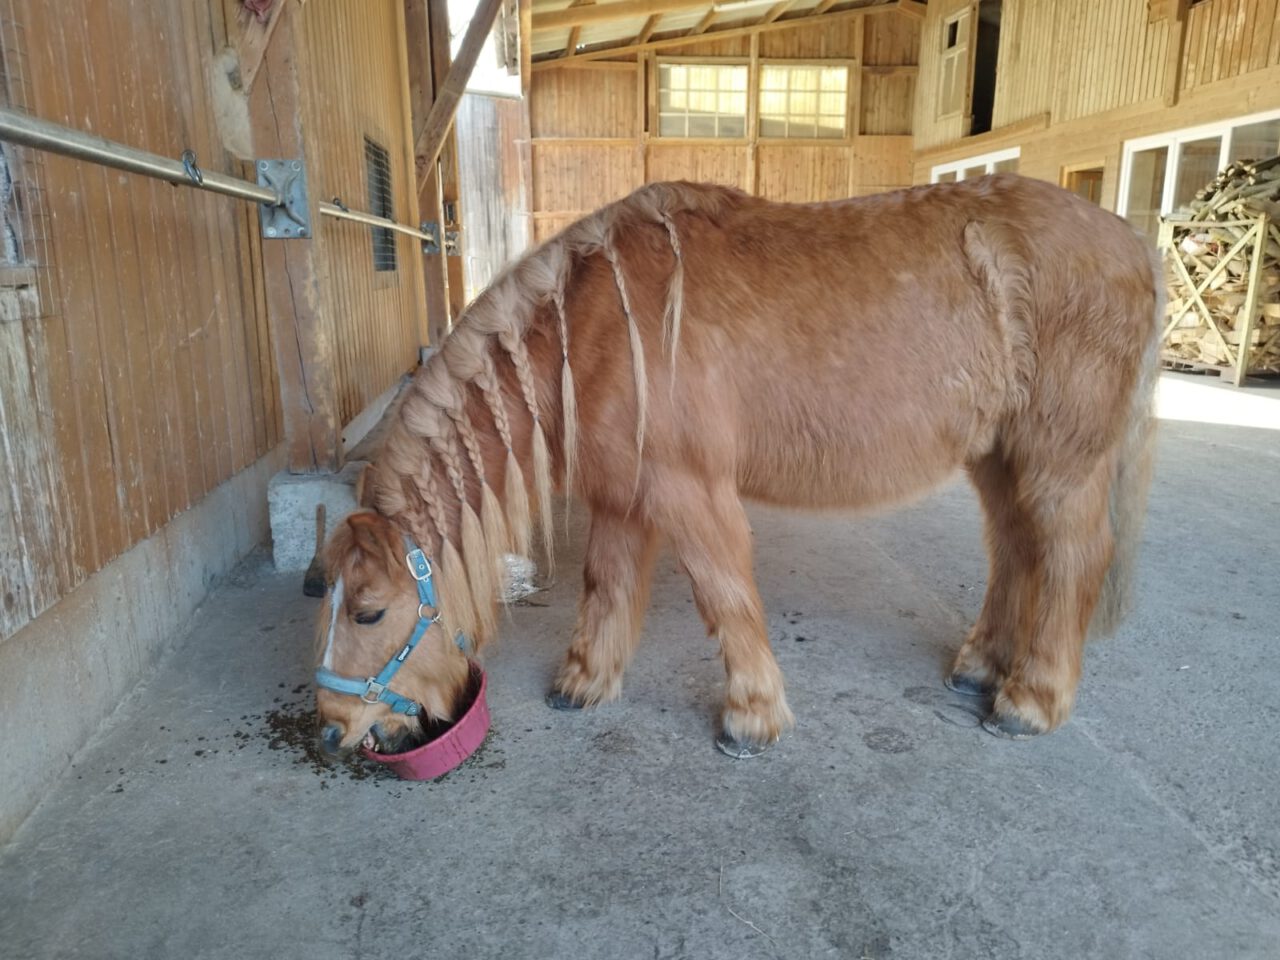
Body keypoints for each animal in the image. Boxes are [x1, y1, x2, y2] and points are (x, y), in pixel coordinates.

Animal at [312, 174, 1161, 760]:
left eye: (369, 612)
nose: (334, 729)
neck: (589, 334)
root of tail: (1128, 241)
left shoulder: (690, 492)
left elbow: (723, 594)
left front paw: (752, 717)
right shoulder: (622, 500)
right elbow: (606, 585)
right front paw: (584, 683)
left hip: (1060, 459)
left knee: (1071, 556)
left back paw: (1031, 700)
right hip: (998, 454)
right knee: (1017, 548)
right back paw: (984, 667)